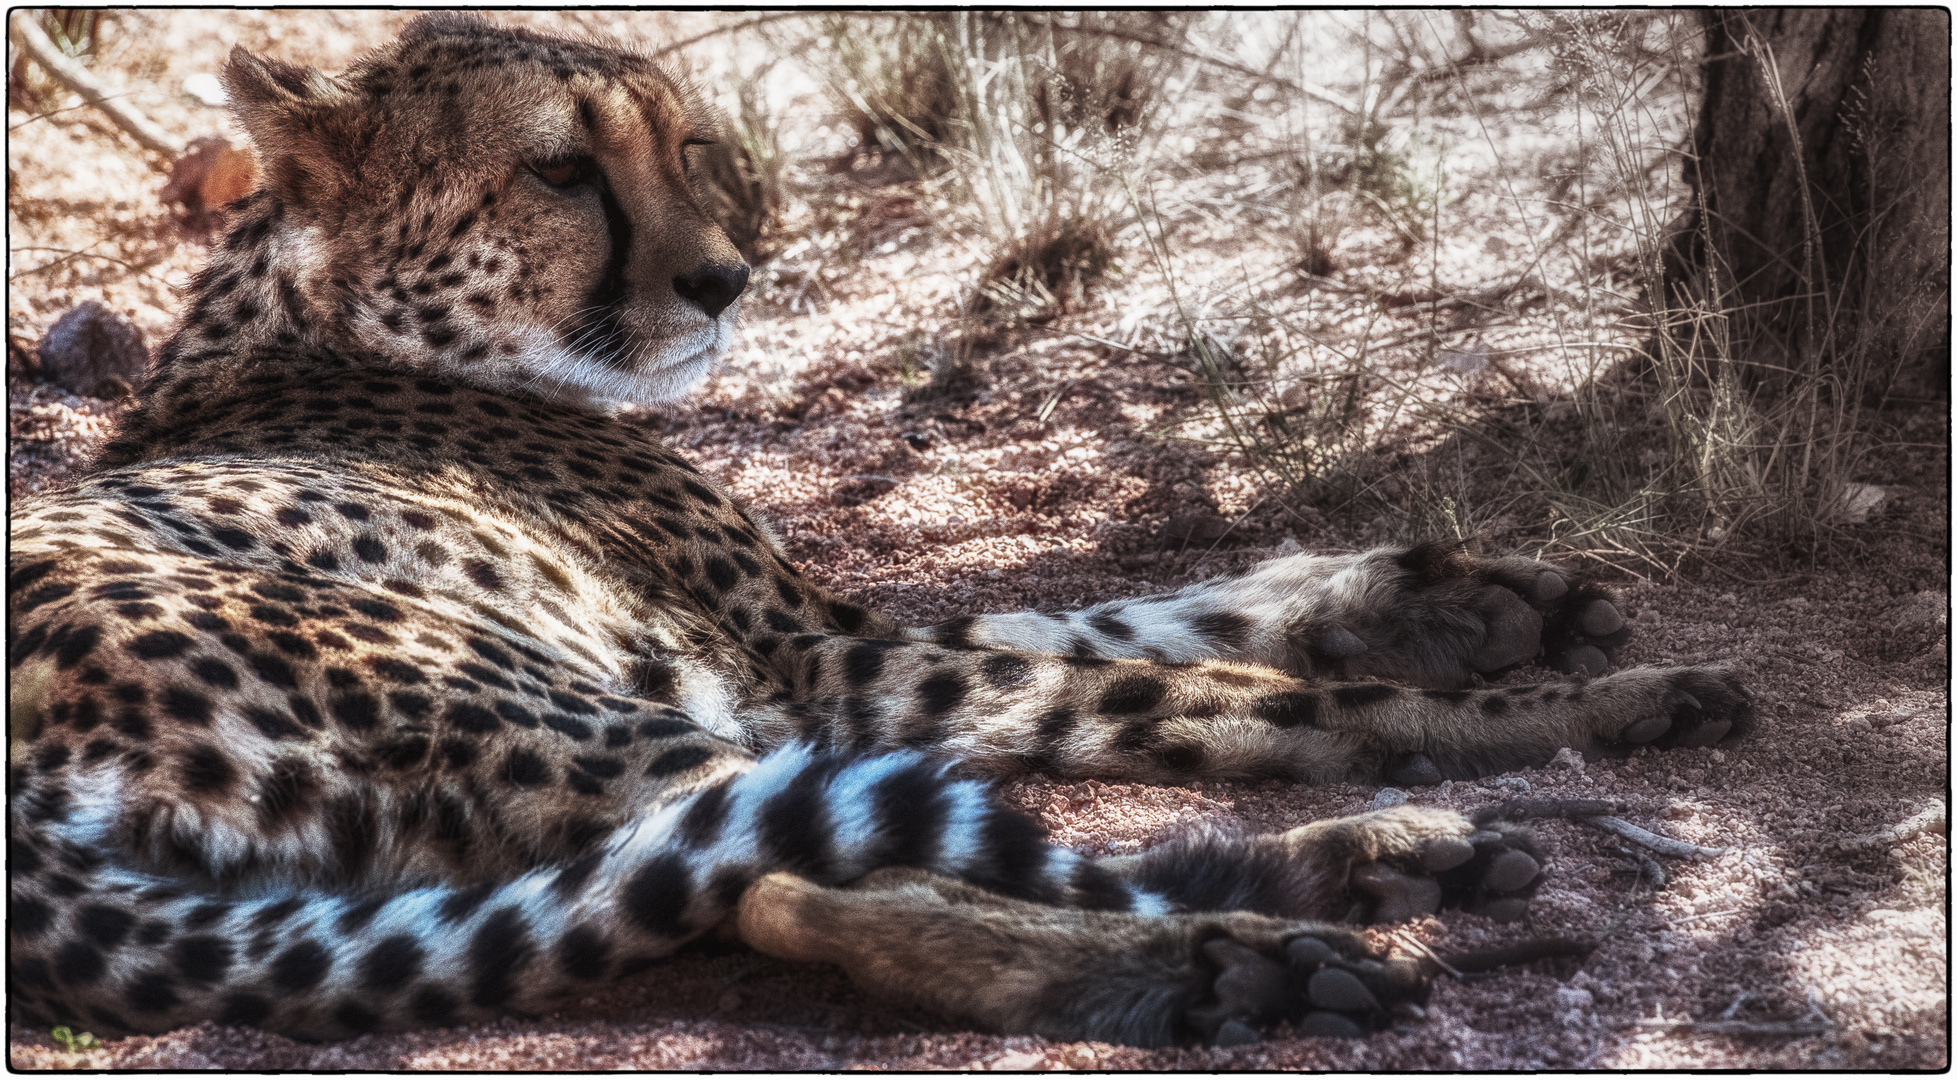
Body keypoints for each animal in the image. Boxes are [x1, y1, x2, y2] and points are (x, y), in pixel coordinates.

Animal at [0, 14, 1745, 1048]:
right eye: (562, 169)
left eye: (683, 142)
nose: (726, 277)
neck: (317, 316)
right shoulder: (822, 668)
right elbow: (1222, 692)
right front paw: (1573, 703)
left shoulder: (830, 637)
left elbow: (1151, 614)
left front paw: (1478, 601)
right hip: (550, 699)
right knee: (803, 866)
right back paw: (1278, 927)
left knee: (780, 865)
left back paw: (1305, 903)